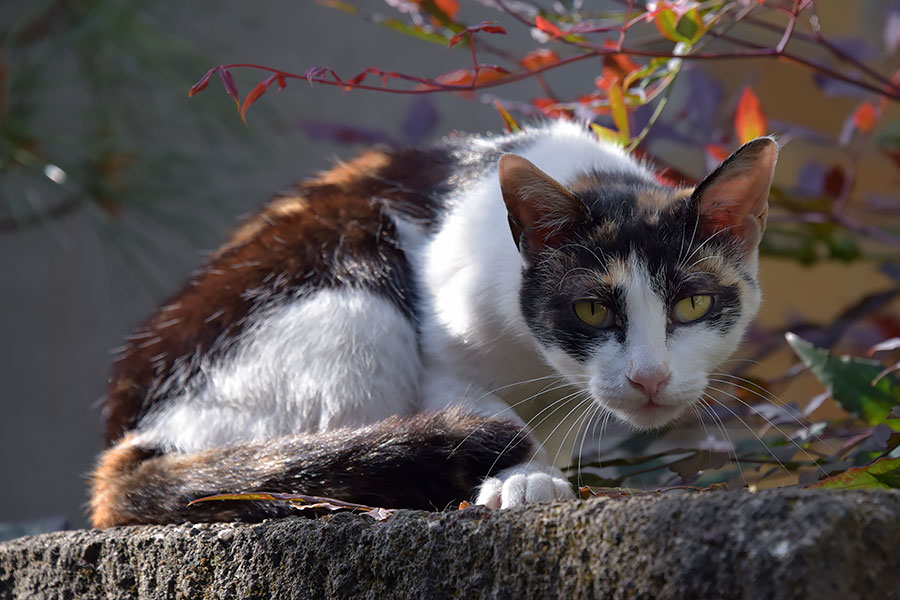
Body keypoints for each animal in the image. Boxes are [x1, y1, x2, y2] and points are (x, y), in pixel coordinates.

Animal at [88, 120, 772, 524]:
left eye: (692, 305)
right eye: (591, 309)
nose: (649, 377)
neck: (539, 365)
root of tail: (133, 436)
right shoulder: (442, 352)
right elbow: (488, 411)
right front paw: (525, 478)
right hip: (354, 289)